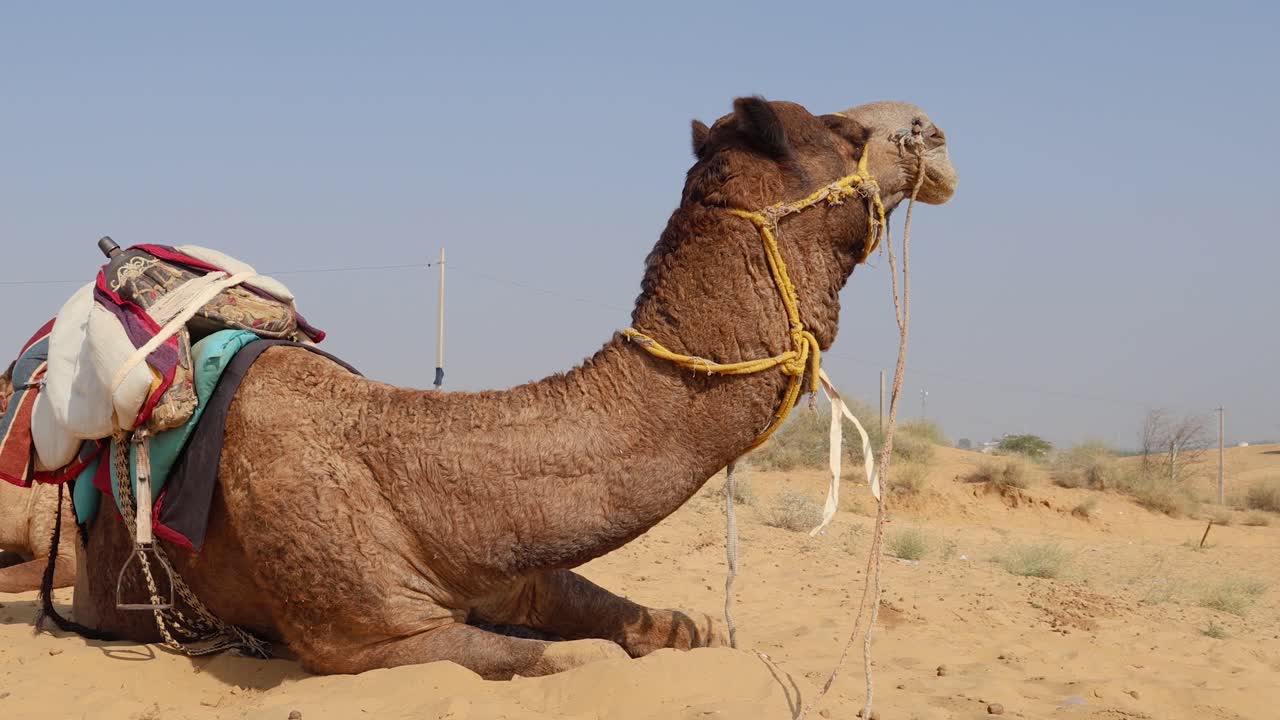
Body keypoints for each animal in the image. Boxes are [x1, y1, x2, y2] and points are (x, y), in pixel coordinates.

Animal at [66, 97, 957, 679]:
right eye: (844, 132)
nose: (933, 131)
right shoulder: (375, 637)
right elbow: (570, 659)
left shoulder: (515, 566)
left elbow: (648, 621)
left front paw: (693, 627)